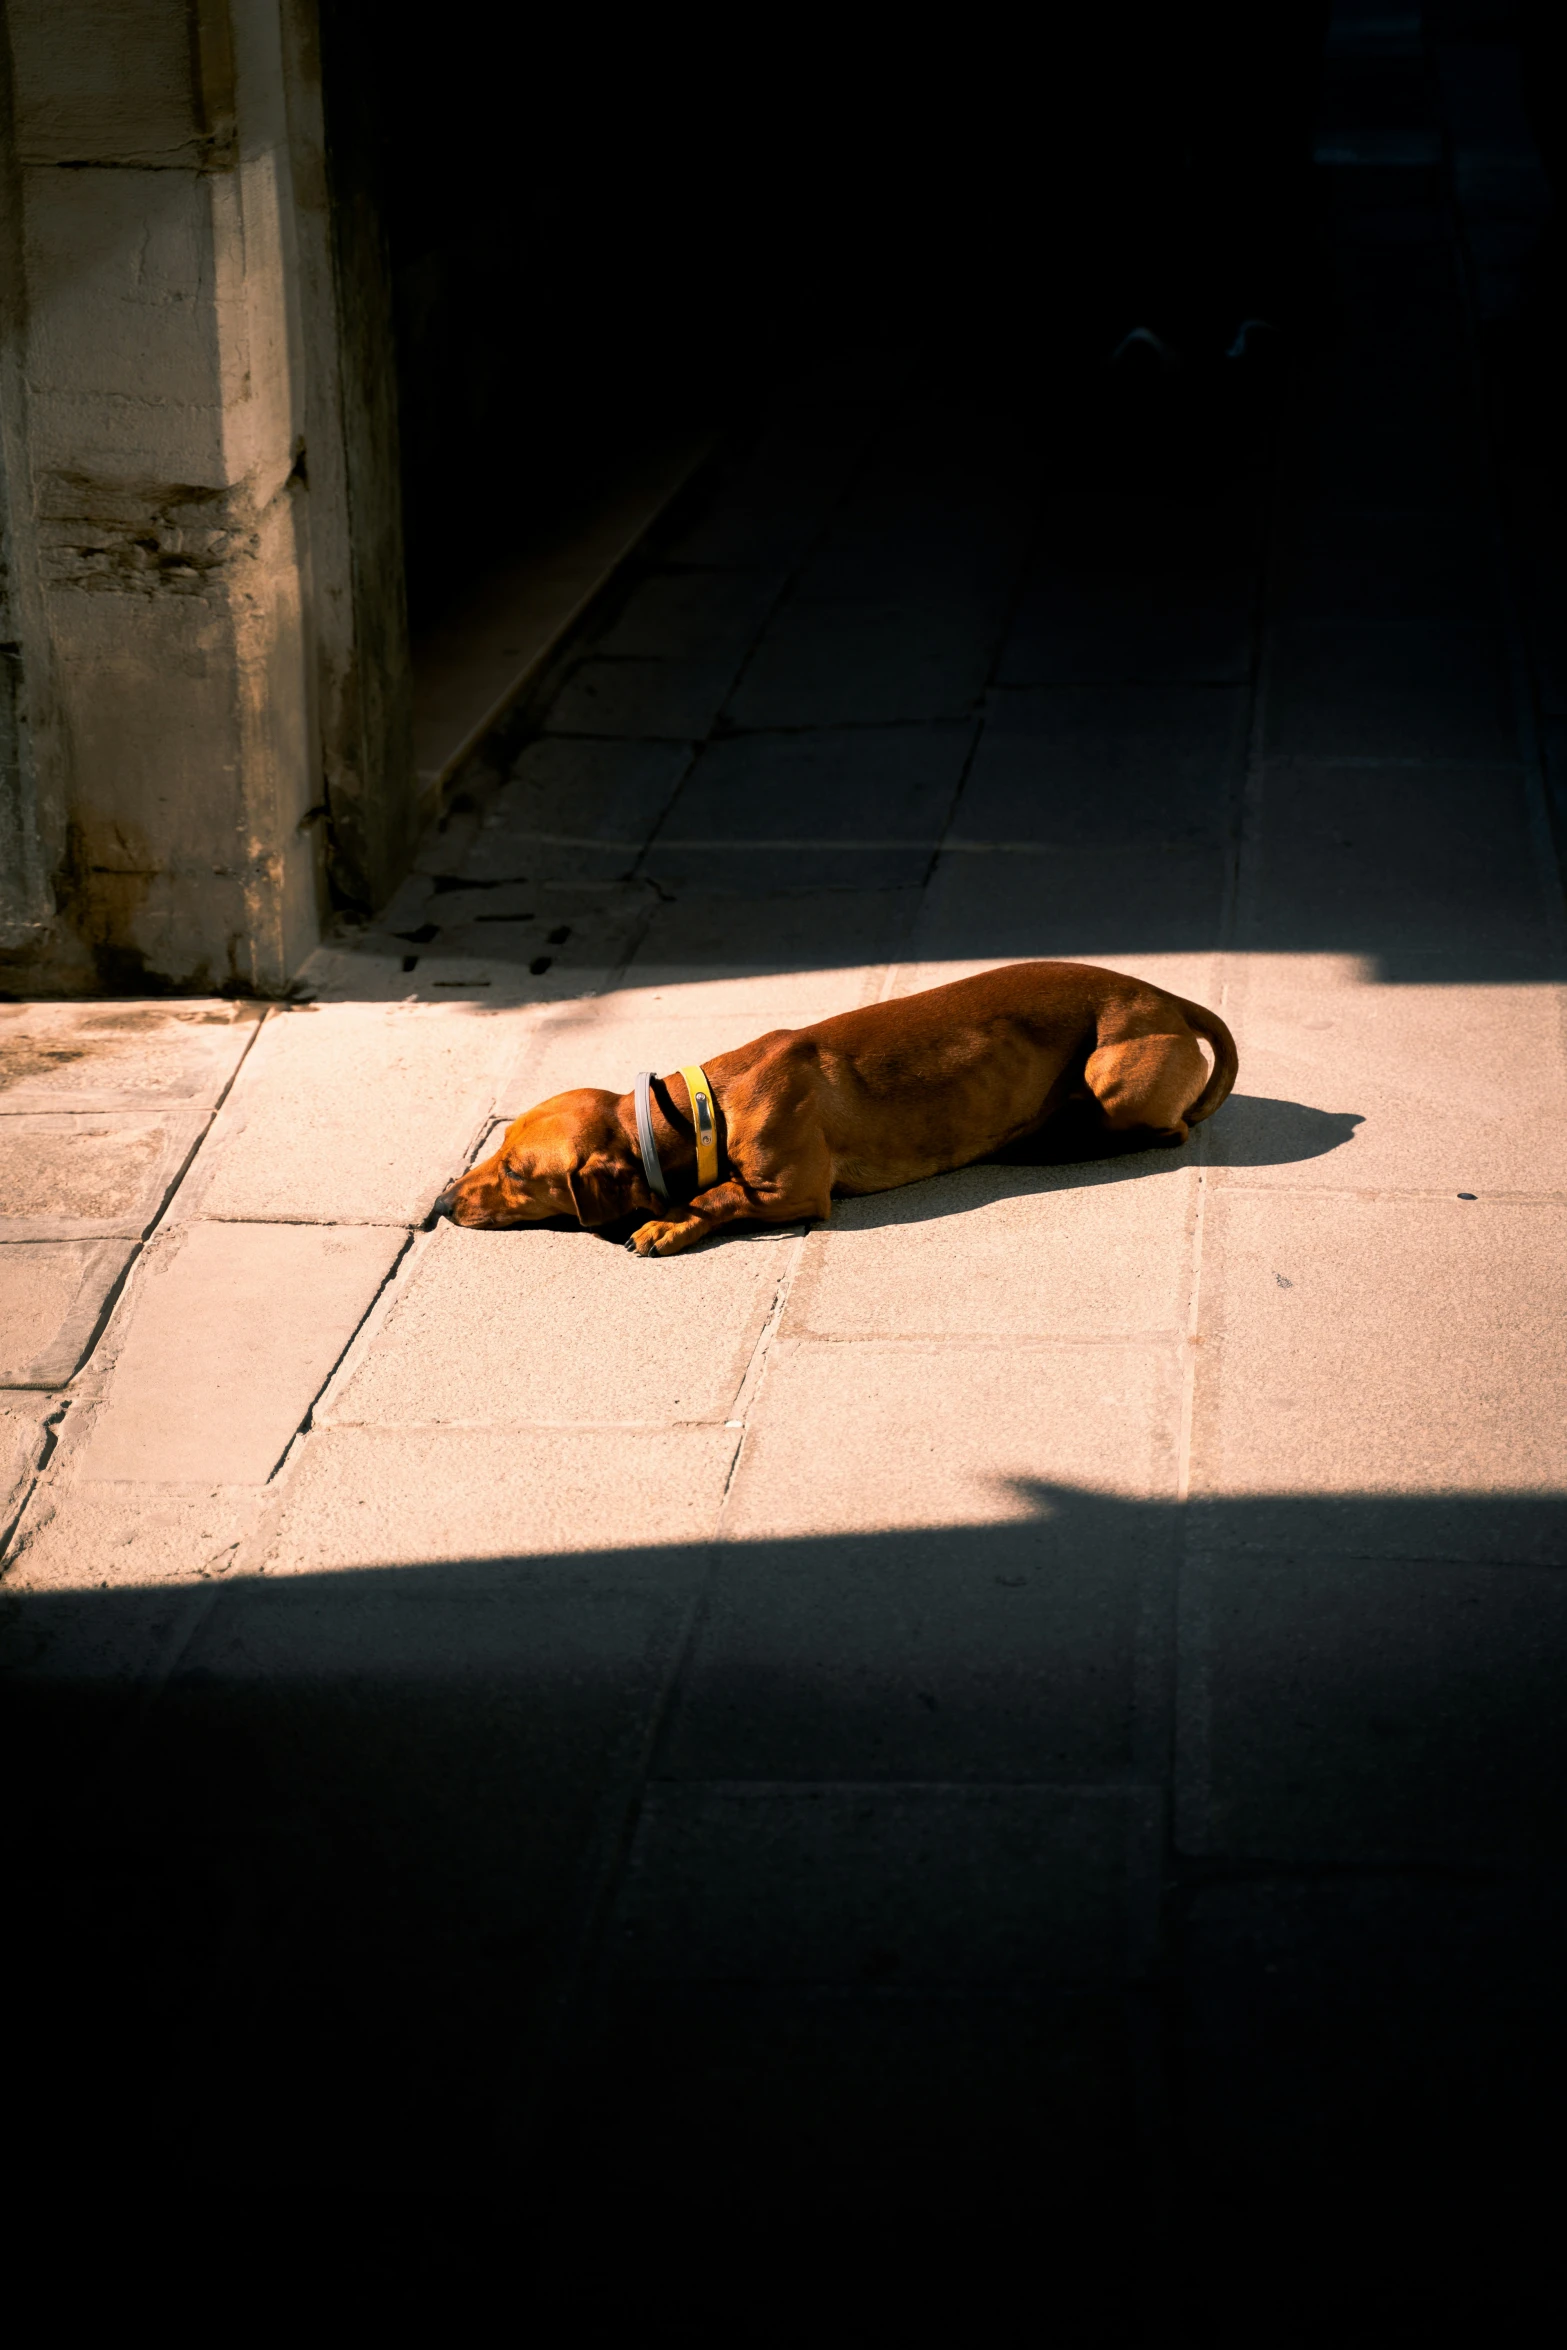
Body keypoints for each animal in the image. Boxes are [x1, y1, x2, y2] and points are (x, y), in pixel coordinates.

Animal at [439, 958, 1240, 1259]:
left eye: (518, 1174)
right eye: (497, 1150)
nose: (444, 1202)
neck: (705, 1108)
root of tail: (1167, 997)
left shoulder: (791, 1190)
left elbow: (714, 1197)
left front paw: (666, 1222)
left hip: (1115, 1075)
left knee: (1164, 1130)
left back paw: (1059, 1139)